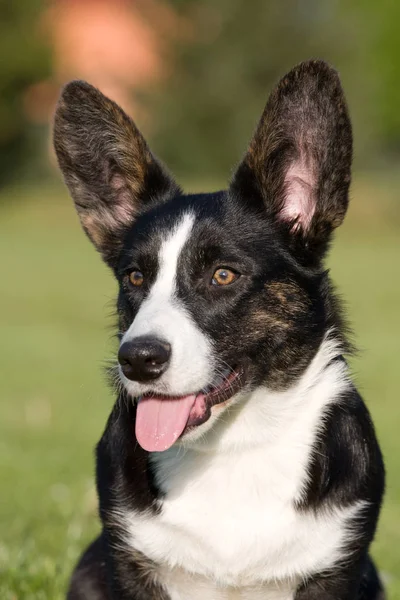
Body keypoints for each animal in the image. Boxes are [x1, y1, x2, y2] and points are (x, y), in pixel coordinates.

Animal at [54, 58, 386, 596]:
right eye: (135, 277)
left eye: (222, 275)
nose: (138, 360)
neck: (232, 444)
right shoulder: (130, 563)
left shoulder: (335, 568)